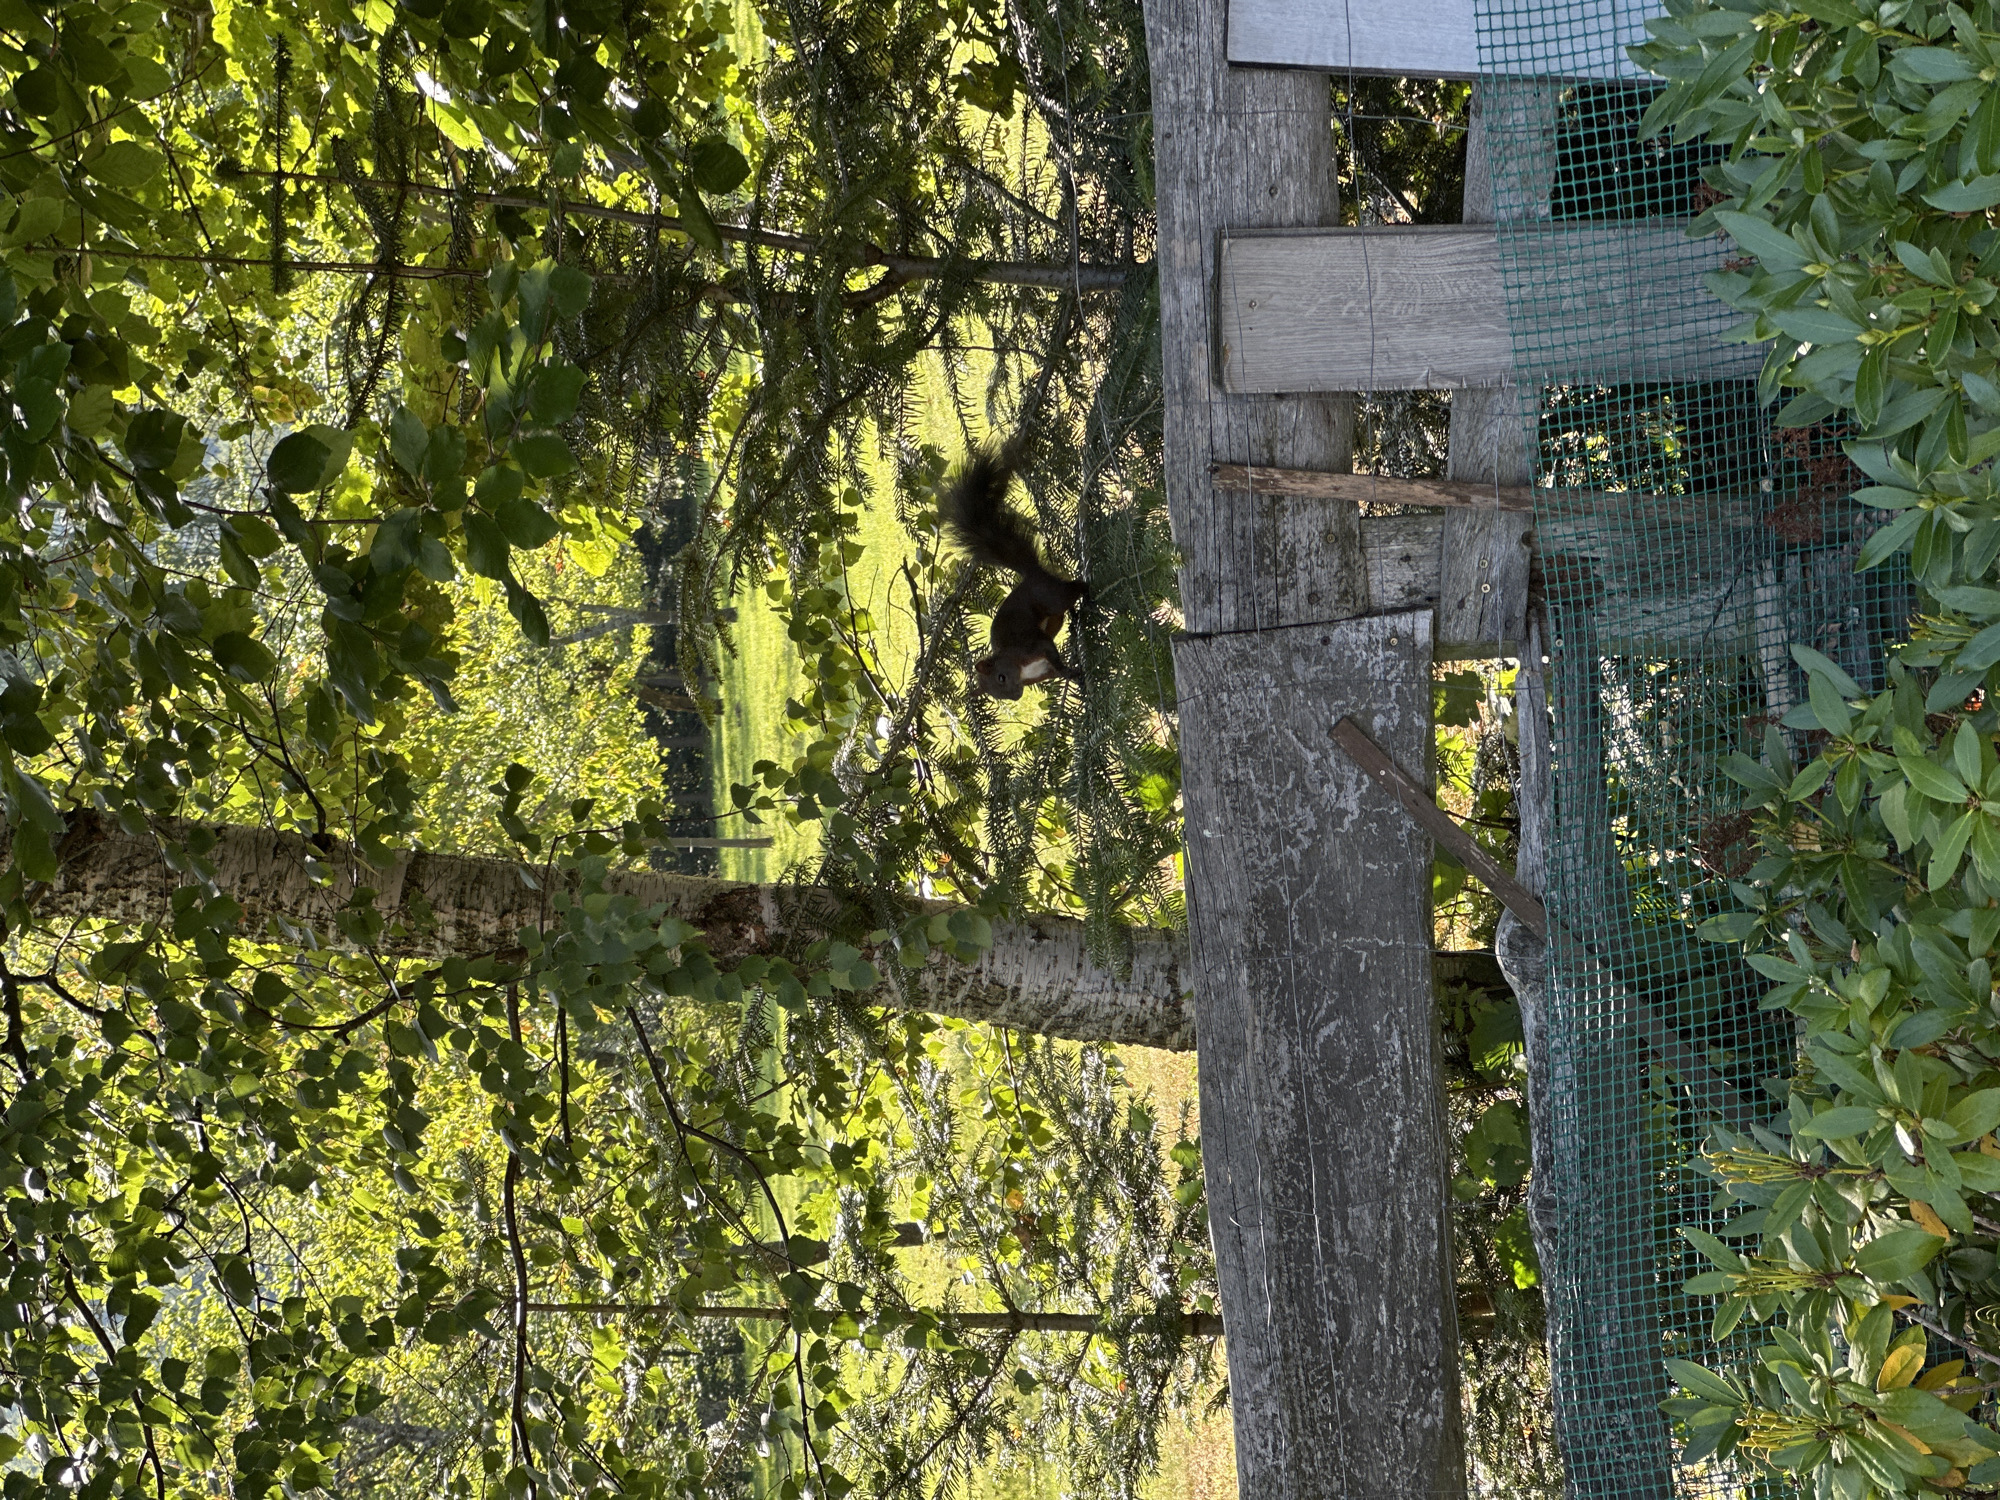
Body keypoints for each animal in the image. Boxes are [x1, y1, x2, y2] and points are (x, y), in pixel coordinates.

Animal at [938, 447, 1087, 700]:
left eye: (1001, 678)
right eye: (996, 696)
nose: (1016, 696)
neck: (1020, 667)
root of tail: (1031, 574)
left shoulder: (1032, 646)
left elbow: (1051, 653)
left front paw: (1069, 671)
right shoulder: (1042, 670)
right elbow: (1055, 671)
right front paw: (1071, 675)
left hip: (1051, 596)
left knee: (1074, 588)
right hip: (1053, 619)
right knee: (1063, 611)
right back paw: (1075, 616)